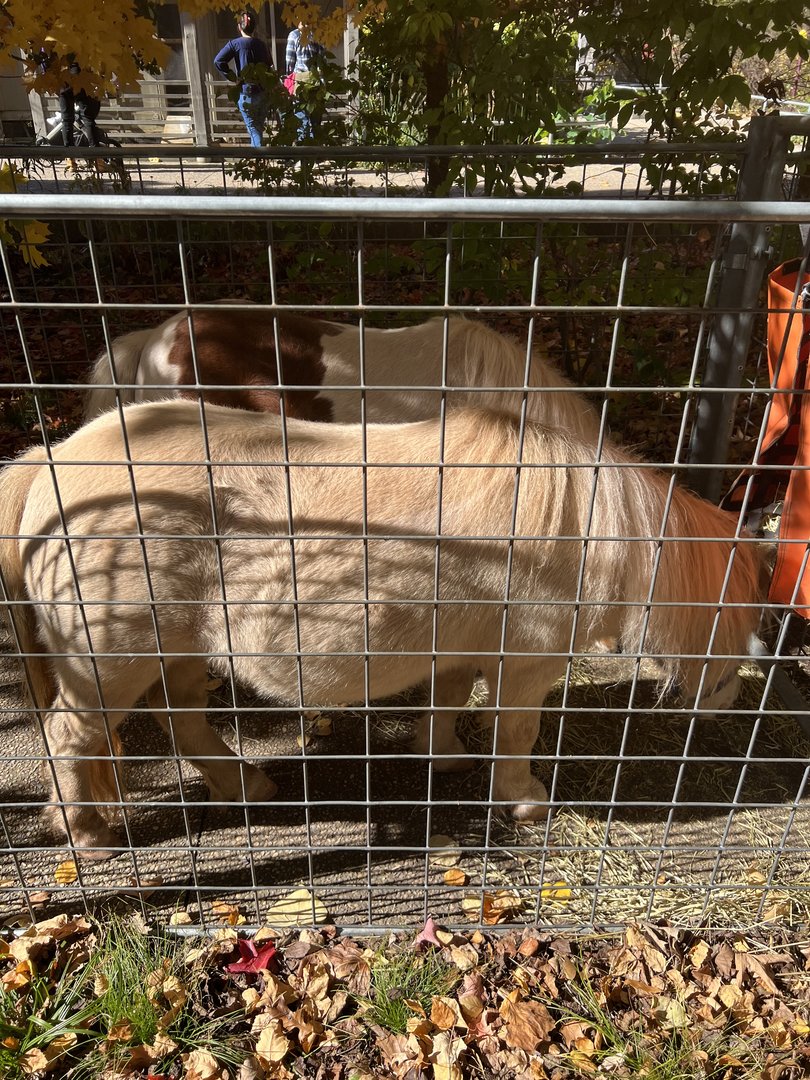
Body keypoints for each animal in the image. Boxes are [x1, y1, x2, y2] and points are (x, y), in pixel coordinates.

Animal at [0, 400, 765, 857]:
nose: (733, 698)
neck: (583, 523)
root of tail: (48, 463)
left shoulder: (459, 646)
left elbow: (448, 700)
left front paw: (443, 756)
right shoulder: (526, 662)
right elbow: (516, 731)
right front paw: (523, 802)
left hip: (179, 649)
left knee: (180, 715)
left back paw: (242, 785)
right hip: (108, 662)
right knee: (73, 735)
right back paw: (89, 833)